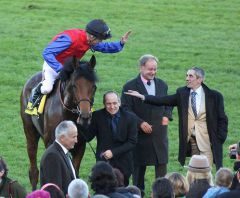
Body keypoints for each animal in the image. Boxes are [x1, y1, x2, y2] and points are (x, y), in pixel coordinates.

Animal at [19, 55, 96, 189]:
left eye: (94, 87)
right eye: (74, 86)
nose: (85, 117)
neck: (67, 114)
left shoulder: (80, 146)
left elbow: (74, 174)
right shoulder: (51, 142)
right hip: (30, 131)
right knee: (33, 171)